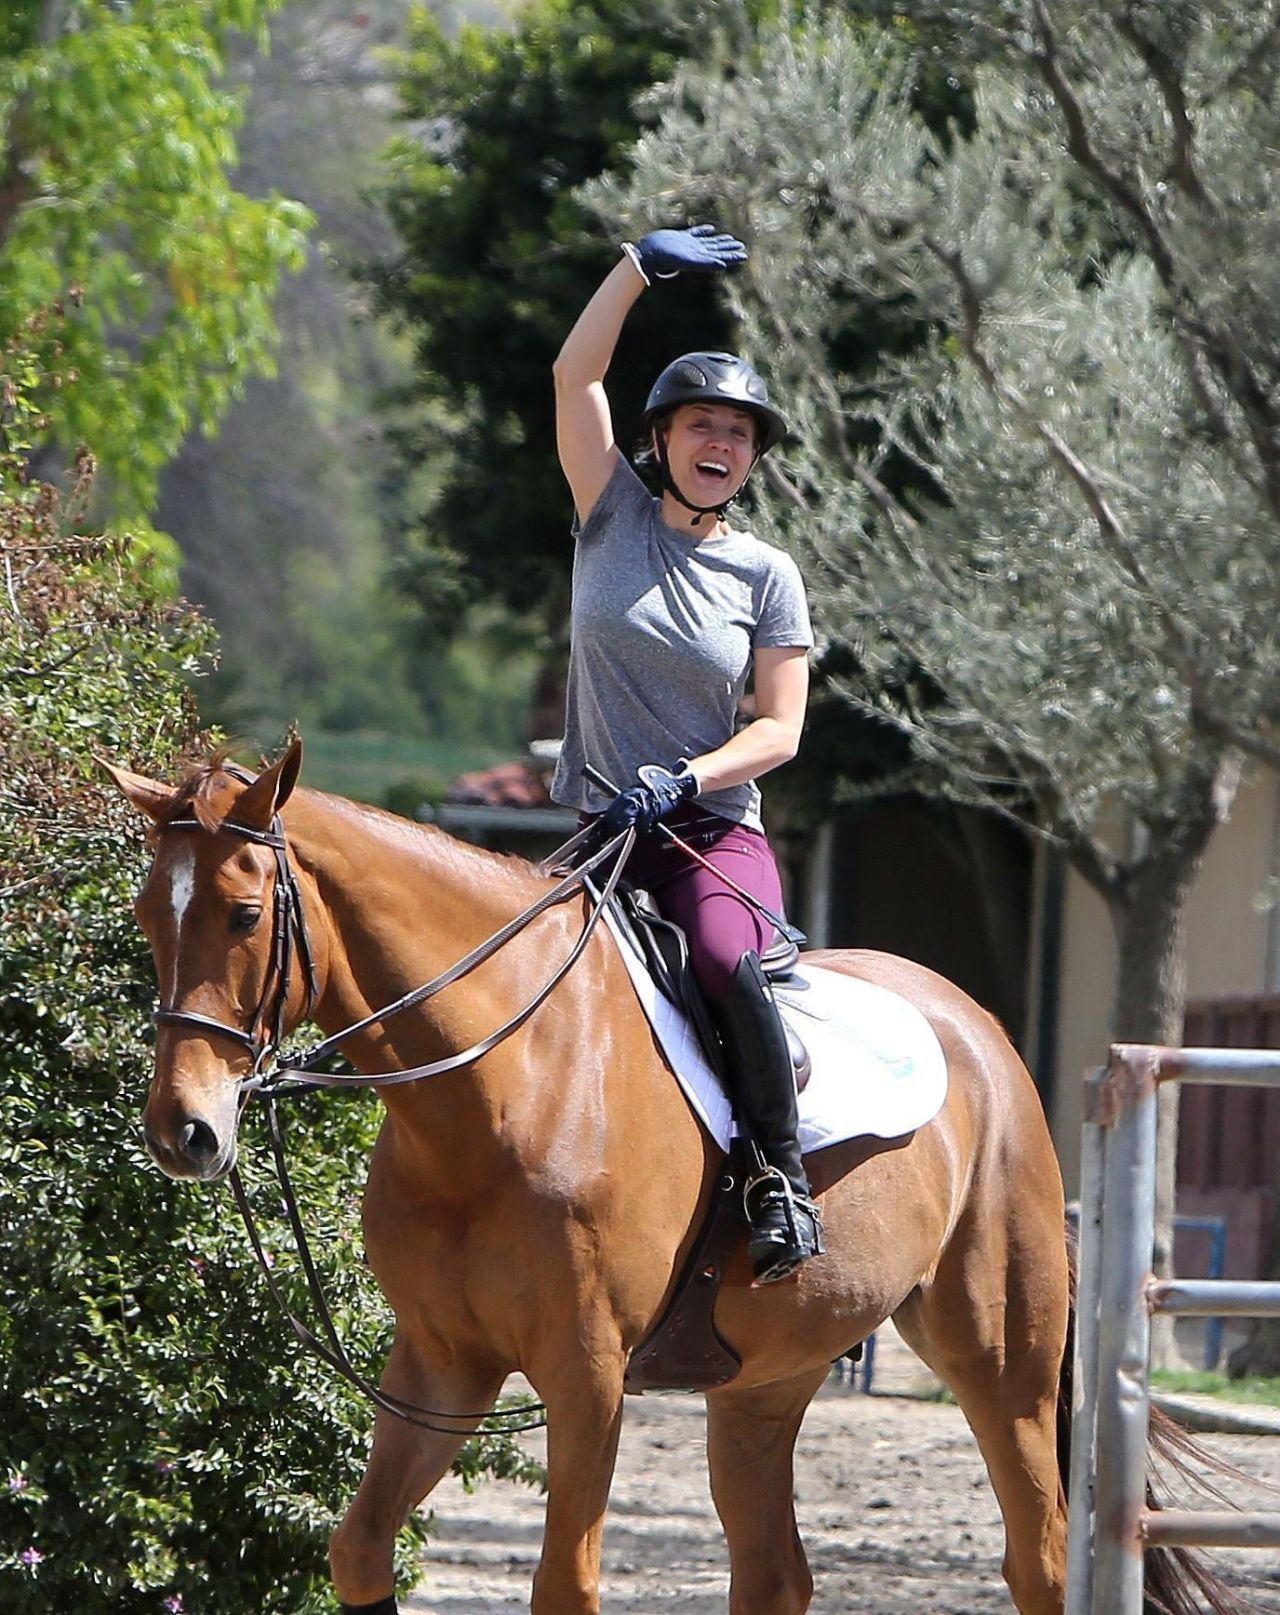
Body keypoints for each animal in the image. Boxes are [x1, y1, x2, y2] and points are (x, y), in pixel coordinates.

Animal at [107, 741, 1220, 1615]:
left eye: (243, 914)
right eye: (148, 915)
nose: (184, 1131)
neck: (501, 1087)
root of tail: (981, 1031)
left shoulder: (586, 1372)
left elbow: (565, 1584)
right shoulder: (441, 1365)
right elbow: (360, 1549)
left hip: (1001, 1365)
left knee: (1037, 1558)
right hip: (767, 1376)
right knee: (774, 1574)